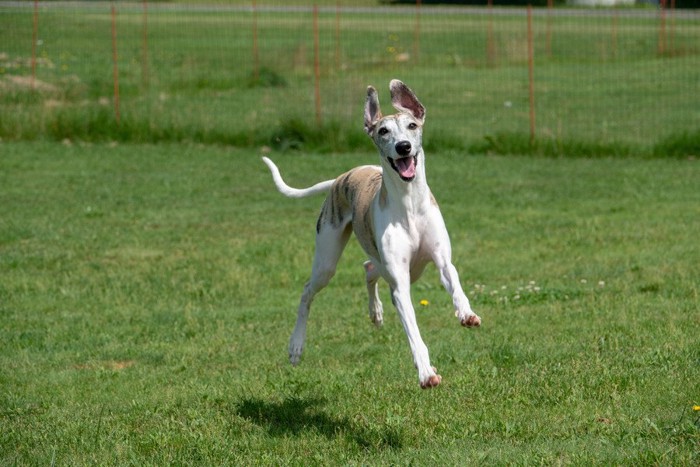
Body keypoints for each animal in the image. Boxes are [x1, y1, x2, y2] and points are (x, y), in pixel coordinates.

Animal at [262, 79, 482, 388]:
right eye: (383, 131)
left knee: (368, 268)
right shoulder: (401, 285)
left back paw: (375, 313)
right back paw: (296, 346)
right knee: (308, 291)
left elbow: (454, 281)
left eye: (412, 125)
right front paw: (426, 373)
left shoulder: (440, 260)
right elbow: (413, 332)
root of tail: (341, 178)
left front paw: (467, 314)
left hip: (411, 268)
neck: (409, 204)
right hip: (328, 258)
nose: (403, 147)